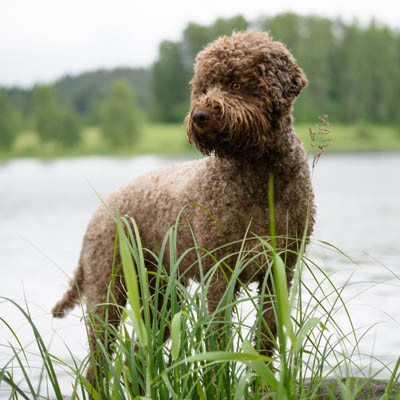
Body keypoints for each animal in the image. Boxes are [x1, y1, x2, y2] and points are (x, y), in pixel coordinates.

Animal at [51, 32, 314, 384]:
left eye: (234, 82)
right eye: (202, 87)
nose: (200, 115)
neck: (262, 179)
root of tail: (99, 210)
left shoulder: (280, 269)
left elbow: (266, 337)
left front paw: (263, 386)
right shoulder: (220, 273)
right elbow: (219, 343)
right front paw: (218, 384)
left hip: (162, 297)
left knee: (137, 352)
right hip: (108, 291)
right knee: (98, 364)